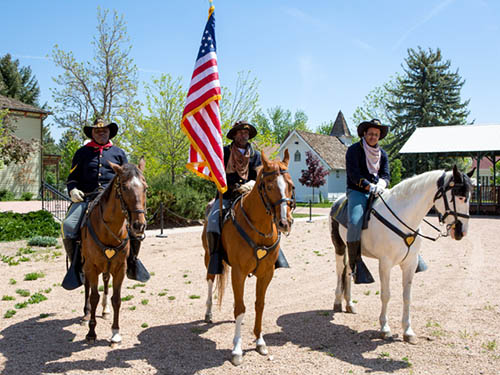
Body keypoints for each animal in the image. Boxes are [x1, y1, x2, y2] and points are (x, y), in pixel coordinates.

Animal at [80, 159, 146, 346]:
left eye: (145, 188)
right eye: (124, 187)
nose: (139, 225)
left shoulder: (119, 268)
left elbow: (116, 299)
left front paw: (115, 332)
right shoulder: (91, 267)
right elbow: (93, 296)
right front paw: (91, 332)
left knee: (105, 281)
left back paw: (105, 310)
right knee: (87, 287)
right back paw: (86, 314)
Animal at [202, 150, 296, 368]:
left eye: (291, 185)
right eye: (269, 186)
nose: (285, 223)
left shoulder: (266, 273)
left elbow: (258, 305)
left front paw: (260, 341)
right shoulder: (239, 272)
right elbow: (240, 307)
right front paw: (237, 349)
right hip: (208, 257)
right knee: (210, 280)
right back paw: (208, 313)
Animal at [330, 166, 474, 346]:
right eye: (460, 196)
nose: (462, 231)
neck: (403, 216)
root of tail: (339, 200)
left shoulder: (410, 264)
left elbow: (407, 297)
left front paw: (408, 331)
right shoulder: (385, 264)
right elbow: (386, 295)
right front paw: (385, 328)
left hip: (353, 252)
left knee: (349, 272)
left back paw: (349, 304)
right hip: (339, 247)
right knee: (340, 271)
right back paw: (337, 302)